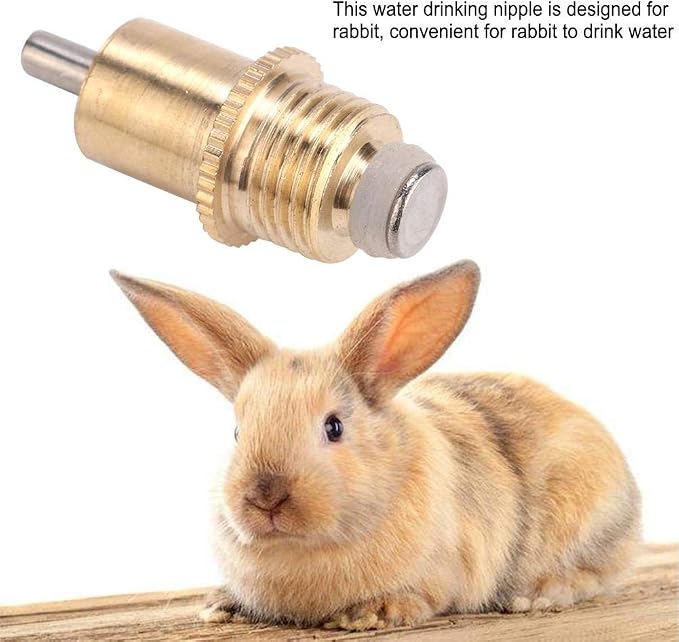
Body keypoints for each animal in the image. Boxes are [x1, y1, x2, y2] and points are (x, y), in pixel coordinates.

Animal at [111, 260, 641, 631]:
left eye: (334, 427)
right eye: (237, 431)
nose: (265, 497)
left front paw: (370, 613)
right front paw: (221, 604)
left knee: (593, 575)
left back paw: (537, 595)